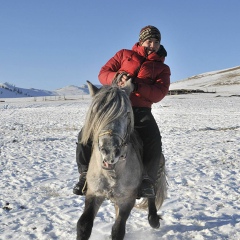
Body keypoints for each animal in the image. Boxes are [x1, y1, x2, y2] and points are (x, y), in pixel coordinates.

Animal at [77, 81, 167, 240]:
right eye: (96, 112)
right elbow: (84, 225)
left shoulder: (127, 199)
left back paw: (154, 220)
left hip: (155, 174)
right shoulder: (94, 193)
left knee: (152, 194)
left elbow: (118, 230)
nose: (110, 151)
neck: (112, 172)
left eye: (126, 113)